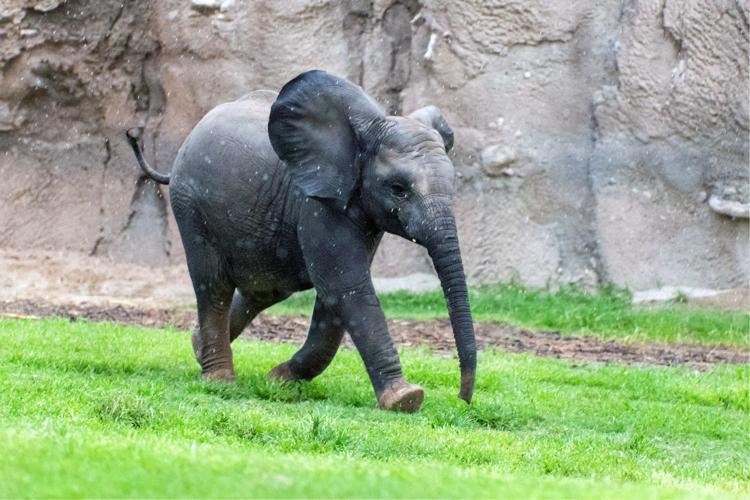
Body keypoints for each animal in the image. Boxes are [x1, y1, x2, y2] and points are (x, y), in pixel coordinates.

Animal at [126, 70, 476, 412]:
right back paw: (219, 378)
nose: (463, 400)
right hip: (191, 204)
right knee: (213, 284)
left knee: (263, 289)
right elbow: (345, 285)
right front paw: (405, 399)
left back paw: (197, 345)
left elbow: (335, 293)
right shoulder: (317, 203)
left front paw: (279, 380)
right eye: (398, 188)